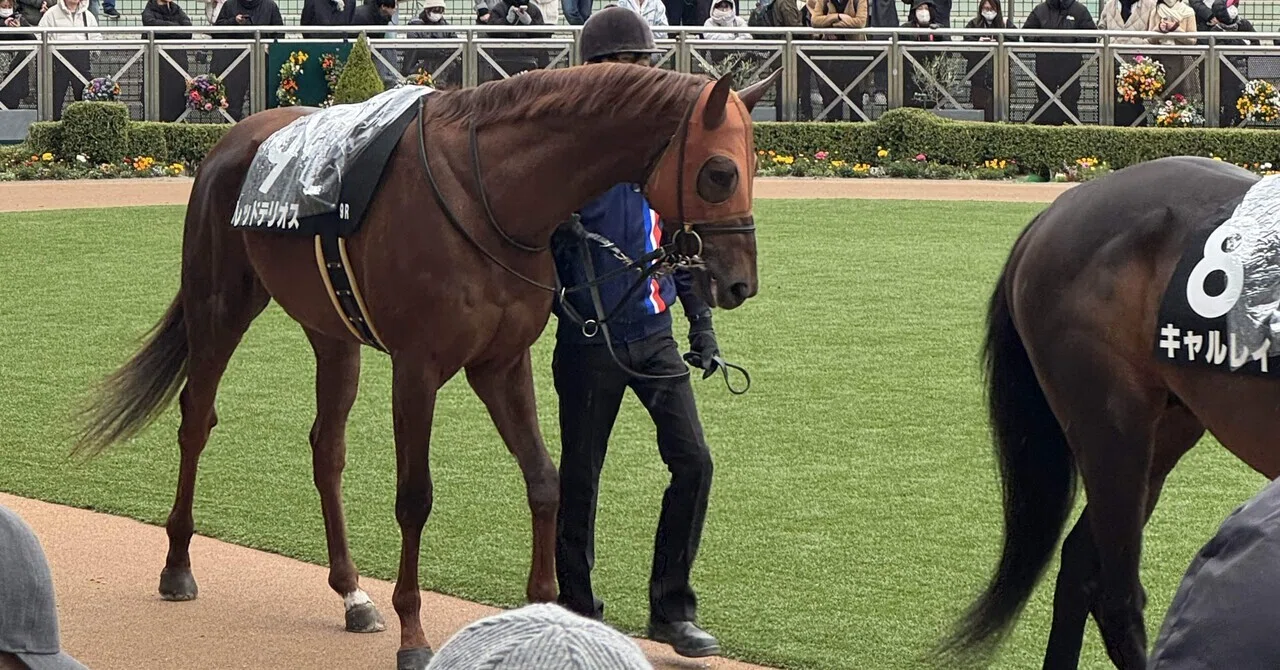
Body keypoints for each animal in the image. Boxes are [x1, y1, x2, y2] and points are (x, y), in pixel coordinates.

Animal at [70, 63, 780, 670]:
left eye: (752, 165)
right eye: (719, 172)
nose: (739, 283)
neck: (489, 192)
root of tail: (233, 140)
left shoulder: (502, 364)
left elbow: (546, 480)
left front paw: (544, 608)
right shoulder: (418, 368)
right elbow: (415, 497)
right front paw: (413, 634)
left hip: (332, 333)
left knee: (326, 447)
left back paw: (352, 594)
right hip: (220, 304)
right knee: (196, 417)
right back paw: (178, 564)